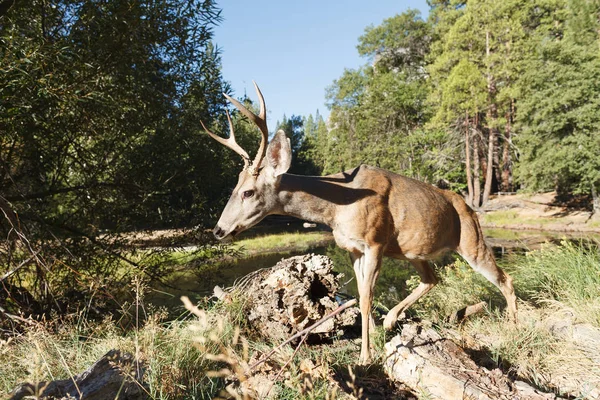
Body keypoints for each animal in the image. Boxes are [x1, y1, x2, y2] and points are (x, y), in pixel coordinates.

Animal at [205, 83, 516, 364]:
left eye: (248, 192)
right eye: (235, 187)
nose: (218, 230)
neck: (337, 205)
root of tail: (469, 206)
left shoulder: (375, 241)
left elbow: (366, 297)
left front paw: (365, 356)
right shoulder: (353, 248)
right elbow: (361, 294)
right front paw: (375, 337)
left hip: (472, 240)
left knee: (504, 278)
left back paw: (513, 325)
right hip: (415, 252)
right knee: (432, 279)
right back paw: (391, 320)